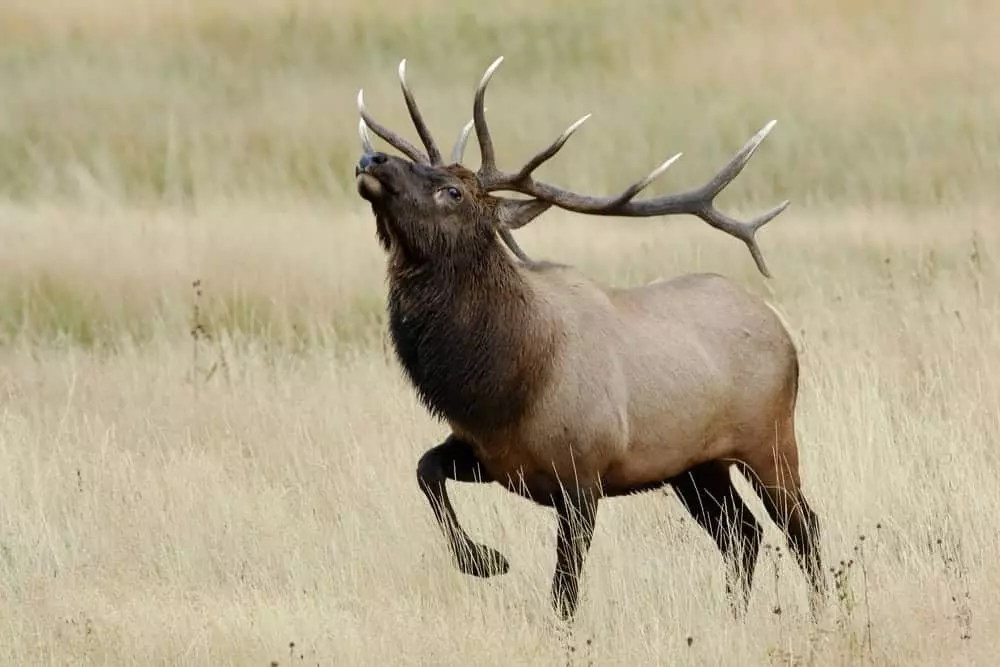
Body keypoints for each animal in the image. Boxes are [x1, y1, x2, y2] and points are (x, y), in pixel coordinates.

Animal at [353, 56, 827, 623]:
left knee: (803, 527)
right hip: (695, 468)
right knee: (743, 535)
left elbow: (564, 593)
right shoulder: (492, 457)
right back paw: (732, 617)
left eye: (453, 191)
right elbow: (425, 470)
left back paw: (825, 615)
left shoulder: (583, 478)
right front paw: (485, 560)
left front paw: (500, 571)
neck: (505, 384)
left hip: (769, 440)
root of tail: (785, 335)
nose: (372, 158)